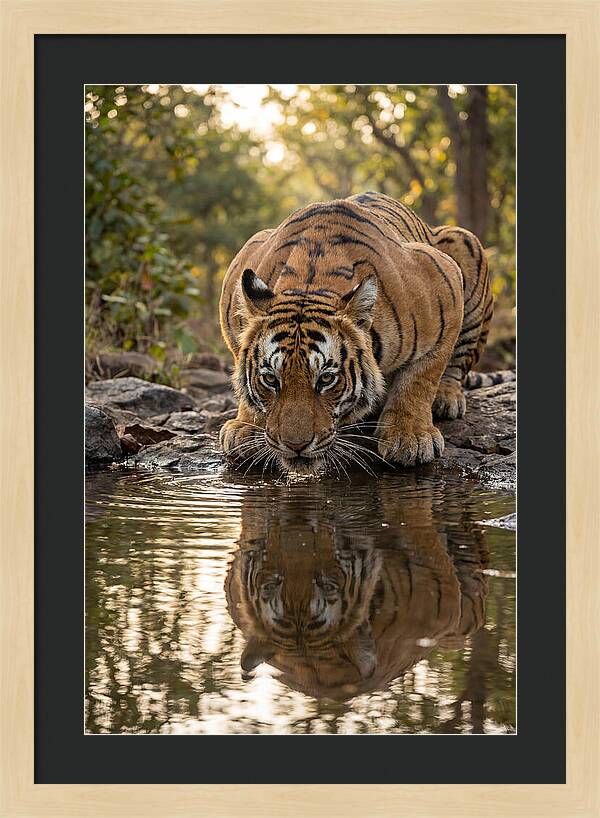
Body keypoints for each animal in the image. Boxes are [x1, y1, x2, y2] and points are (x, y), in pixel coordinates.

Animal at [219, 191, 494, 475]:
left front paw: (410, 437)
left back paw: (446, 398)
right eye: (270, 379)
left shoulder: (444, 281)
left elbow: (421, 377)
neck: (310, 283)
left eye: (327, 379)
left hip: (465, 242)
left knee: (457, 363)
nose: (296, 445)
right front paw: (245, 427)